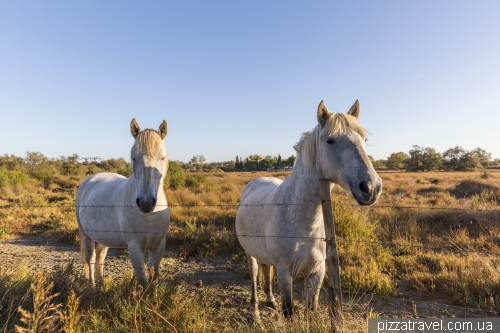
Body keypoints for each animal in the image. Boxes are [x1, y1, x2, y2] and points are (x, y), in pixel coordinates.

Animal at [75, 118, 170, 286]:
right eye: (133, 157)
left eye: (162, 157)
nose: (145, 203)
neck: (151, 216)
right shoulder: (135, 248)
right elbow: (143, 280)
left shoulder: (159, 246)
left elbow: (153, 278)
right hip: (86, 235)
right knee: (91, 259)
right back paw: (92, 286)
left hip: (104, 237)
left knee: (100, 257)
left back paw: (101, 285)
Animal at [235, 99, 382, 316]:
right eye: (330, 141)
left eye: (364, 140)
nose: (371, 187)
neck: (304, 224)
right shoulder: (285, 272)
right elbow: (288, 310)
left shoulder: (316, 272)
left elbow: (310, 309)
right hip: (250, 254)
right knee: (254, 278)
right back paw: (255, 313)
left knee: (266, 270)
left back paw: (270, 300)